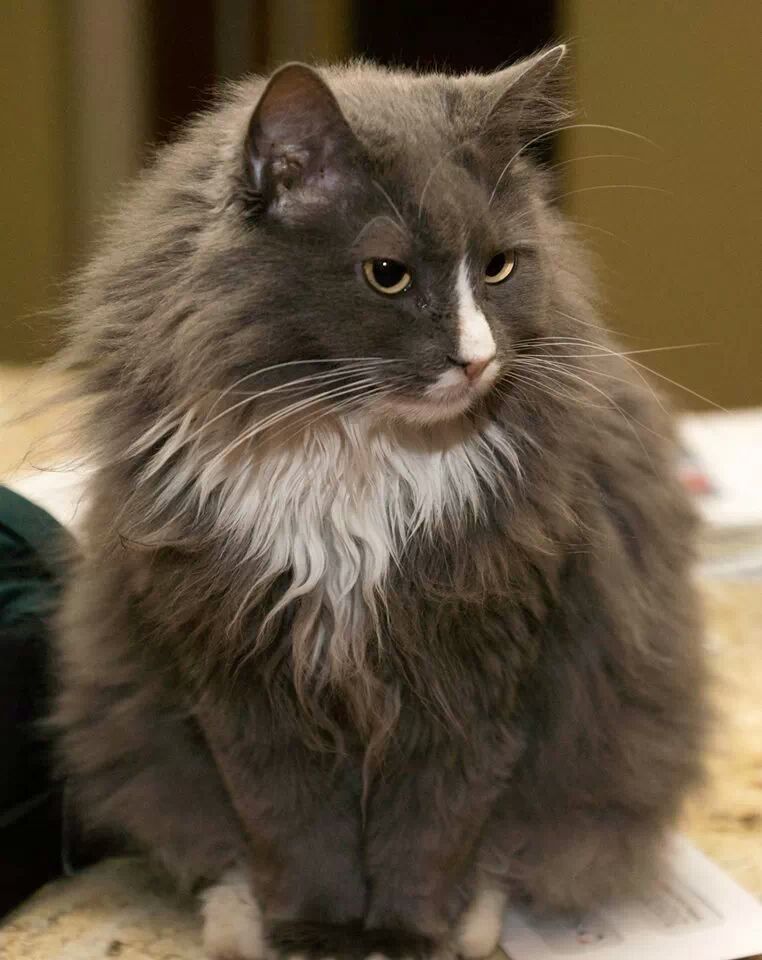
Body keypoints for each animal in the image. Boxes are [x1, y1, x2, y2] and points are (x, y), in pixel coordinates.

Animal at [55, 47, 708, 960]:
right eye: (388, 275)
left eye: (499, 267)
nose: (477, 360)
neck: (356, 456)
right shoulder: (243, 674)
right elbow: (293, 828)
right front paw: (315, 931)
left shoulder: (474, 667)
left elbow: (432, 831)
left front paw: (404, 937)